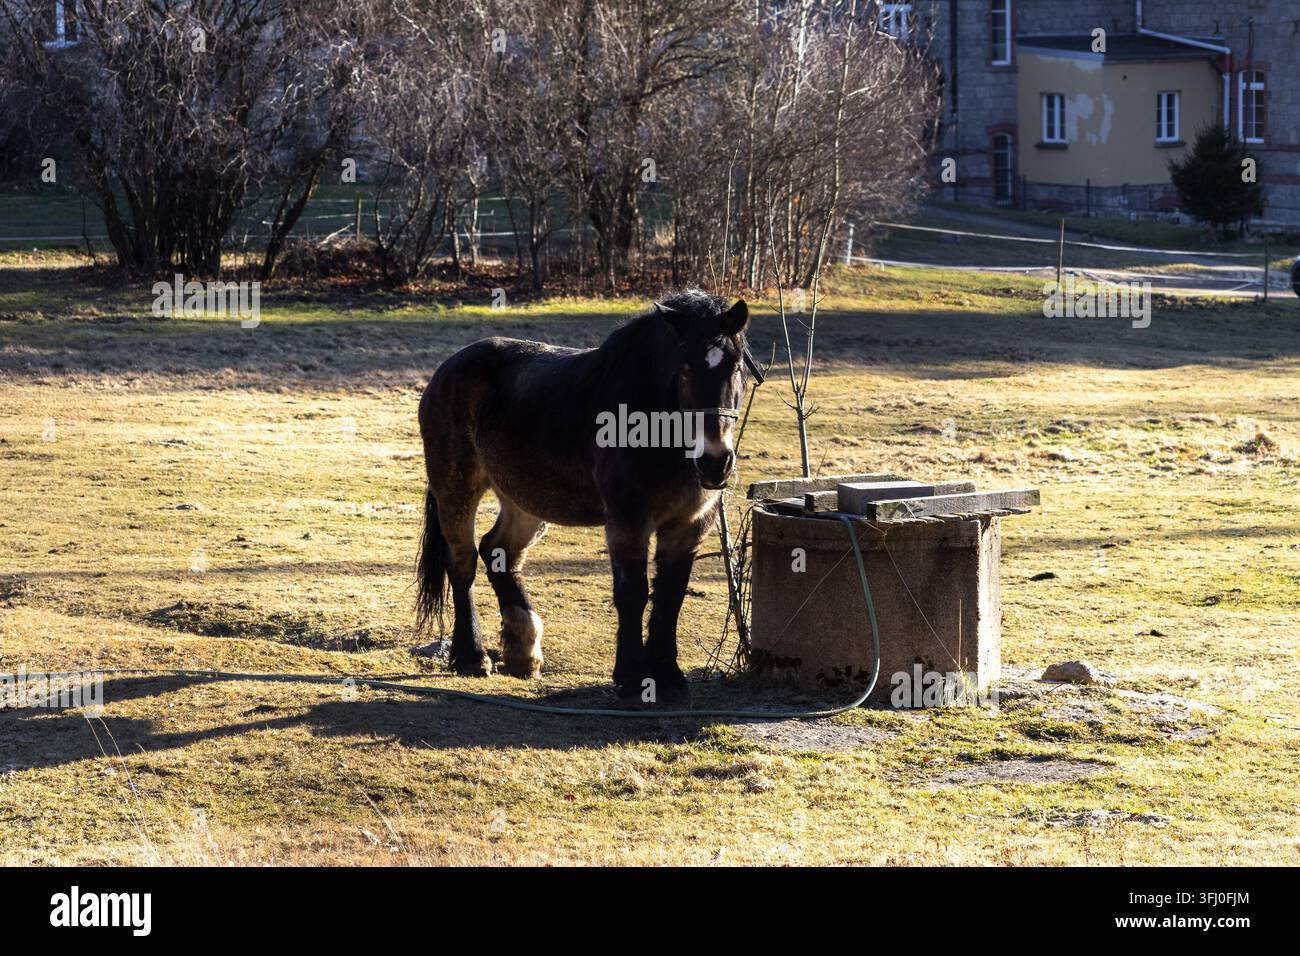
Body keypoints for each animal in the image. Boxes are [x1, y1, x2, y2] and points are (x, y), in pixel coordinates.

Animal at [415, 290, 751, 703]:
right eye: (685, 368)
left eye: (736, 367)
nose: (715, 461)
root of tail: (445, 370)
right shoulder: (627, 519)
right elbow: (632, 593)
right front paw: (631, 677)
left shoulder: (689, 524)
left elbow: (670, 595)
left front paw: (668, 676)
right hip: (456, 487)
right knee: (462, 563)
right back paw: (472, 656)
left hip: (523, 499)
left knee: (499, 552)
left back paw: (523, 651)